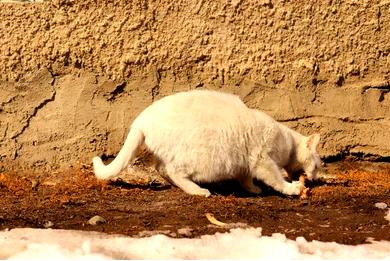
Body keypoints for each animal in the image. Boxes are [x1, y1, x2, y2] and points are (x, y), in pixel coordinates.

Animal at [93, 89, 322, 195]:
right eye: (319, 165)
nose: (313, 177)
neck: (287, 143)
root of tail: (141, 118)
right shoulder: (262, 159)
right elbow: (275, 178)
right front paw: (291, 188)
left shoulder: (246, 163)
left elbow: (246, 178)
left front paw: (253, 189)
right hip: (203, 158)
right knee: (174, 171)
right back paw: (198, 191)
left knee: (161, 168)